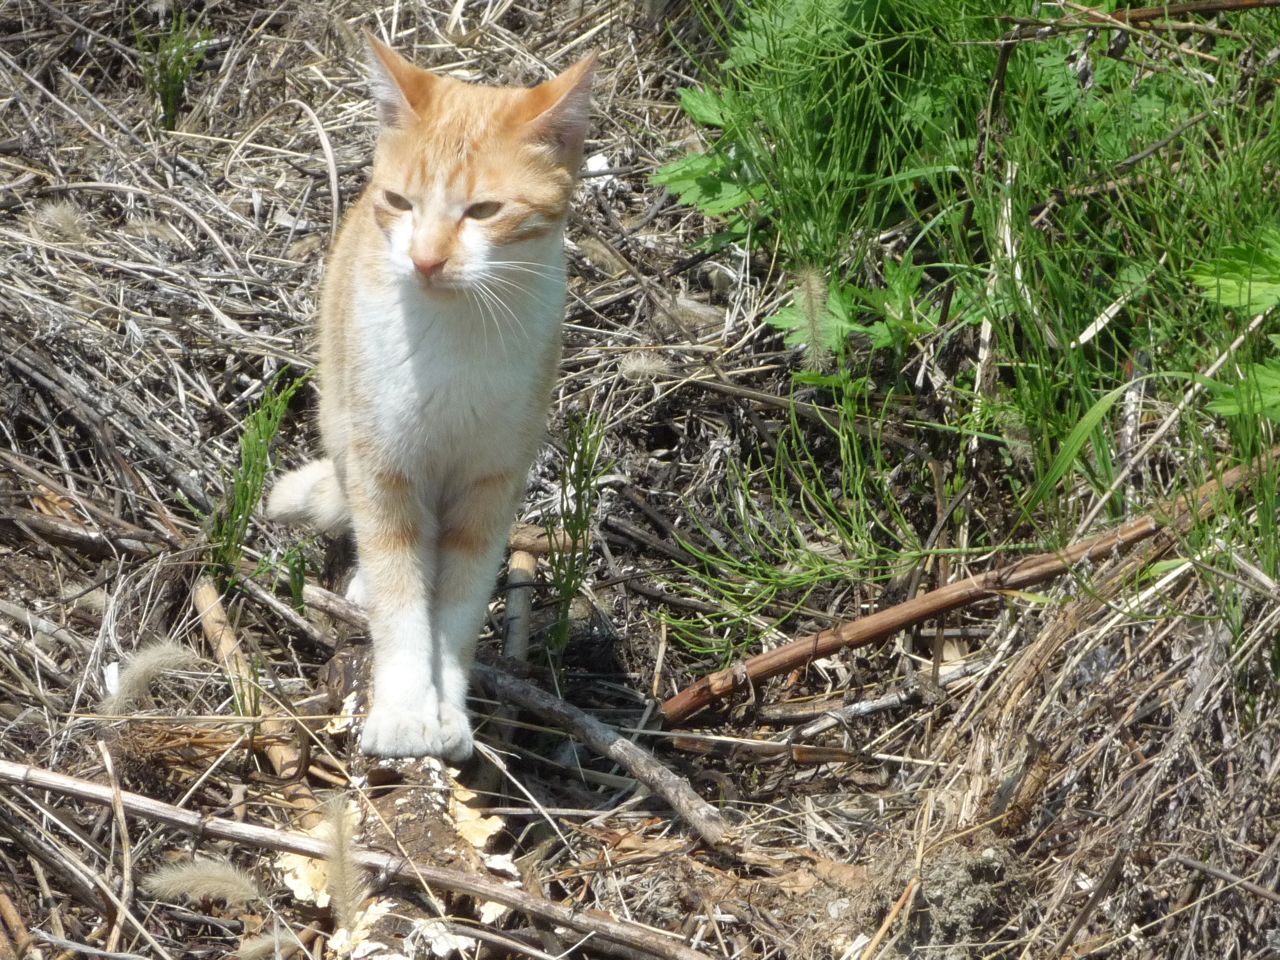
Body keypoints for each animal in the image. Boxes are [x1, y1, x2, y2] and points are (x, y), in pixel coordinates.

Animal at [267, 33, 596, 762]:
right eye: (400, 201)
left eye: (484, 211)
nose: (424, 260)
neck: (456, 335)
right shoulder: (384, 468)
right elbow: (400, 595)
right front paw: (404, 712)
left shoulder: (491, 485)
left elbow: (458, 609)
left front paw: (445, 709)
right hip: (342, 418)